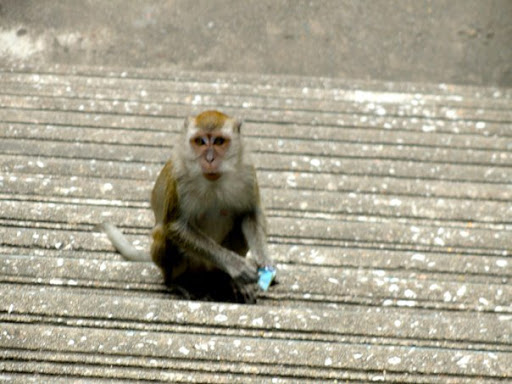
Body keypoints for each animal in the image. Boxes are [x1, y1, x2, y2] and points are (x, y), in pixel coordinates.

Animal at [99, 109, 276, 302]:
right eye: (200, 141)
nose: (210, 159)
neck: (214, 181)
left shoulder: (247, 172)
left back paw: (230, 281)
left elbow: (249, 214)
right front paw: (235, 264)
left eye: (219, 141)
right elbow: (175, 225)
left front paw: (263, 260)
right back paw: (176, 283)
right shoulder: (179, 179)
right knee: (164, 235)